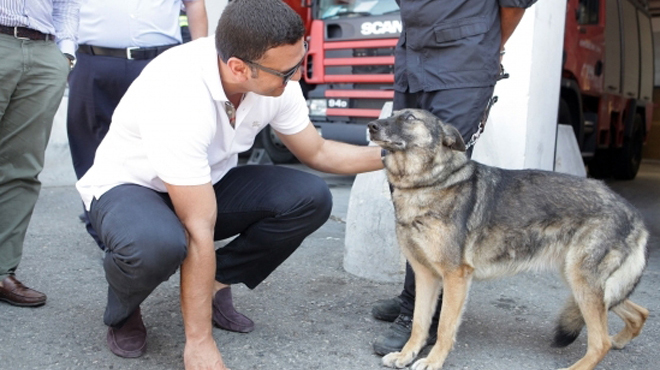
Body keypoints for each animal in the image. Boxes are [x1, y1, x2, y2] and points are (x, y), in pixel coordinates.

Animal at [368, 108, 648, 368]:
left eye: (409, 118)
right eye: (393, 114)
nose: (371, 126)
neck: (427, 183)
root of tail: (633, 212)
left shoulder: (455, 277)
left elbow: (445, 326)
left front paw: (433, 361)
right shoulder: (426, 276)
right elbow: (419, 322)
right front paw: (405, 354)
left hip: (583, 282)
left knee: (600, 342)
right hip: (582, 281)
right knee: (638, 313)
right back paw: (620, 340)